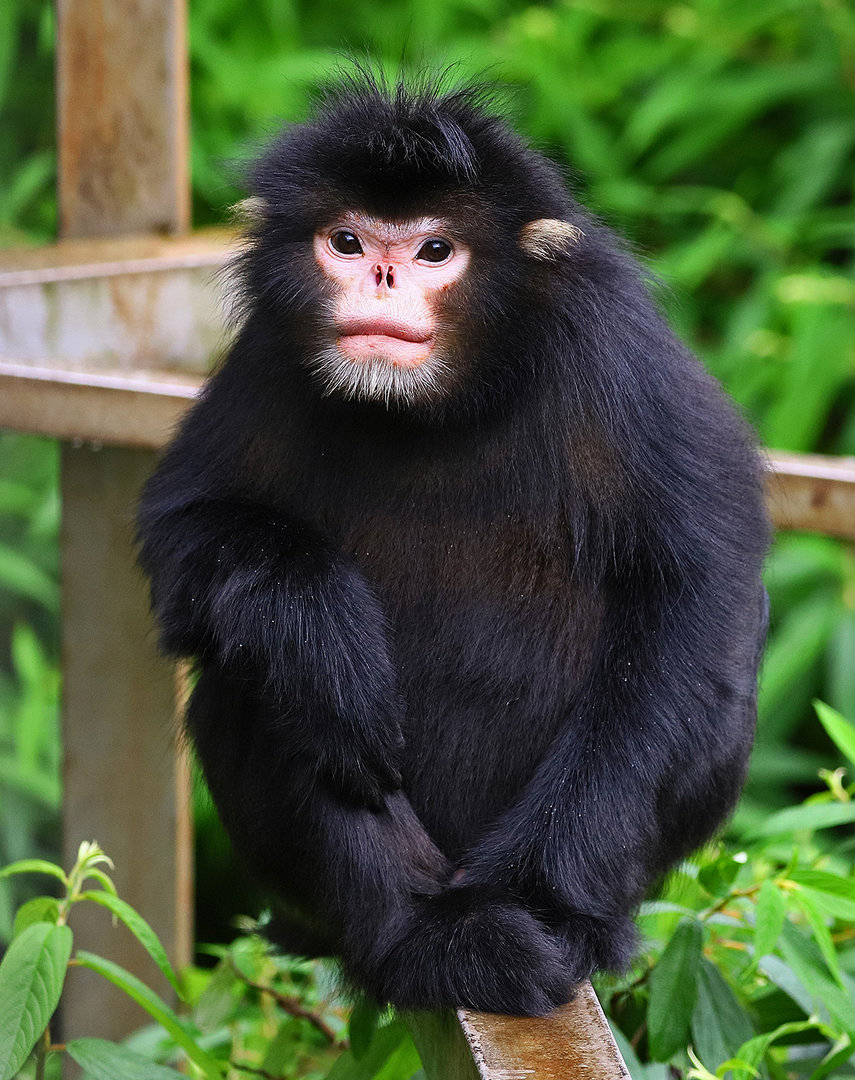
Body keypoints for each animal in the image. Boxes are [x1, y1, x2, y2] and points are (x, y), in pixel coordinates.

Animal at [136, 75, 769, 1017]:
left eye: (435, 250)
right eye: (348, 242)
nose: (384, 276)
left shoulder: (613, 346)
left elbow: (697, 602)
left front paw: (535, 905)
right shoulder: (269, 356)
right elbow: (183, 535)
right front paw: (319, 631)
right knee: (249, 666)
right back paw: (419, 934)